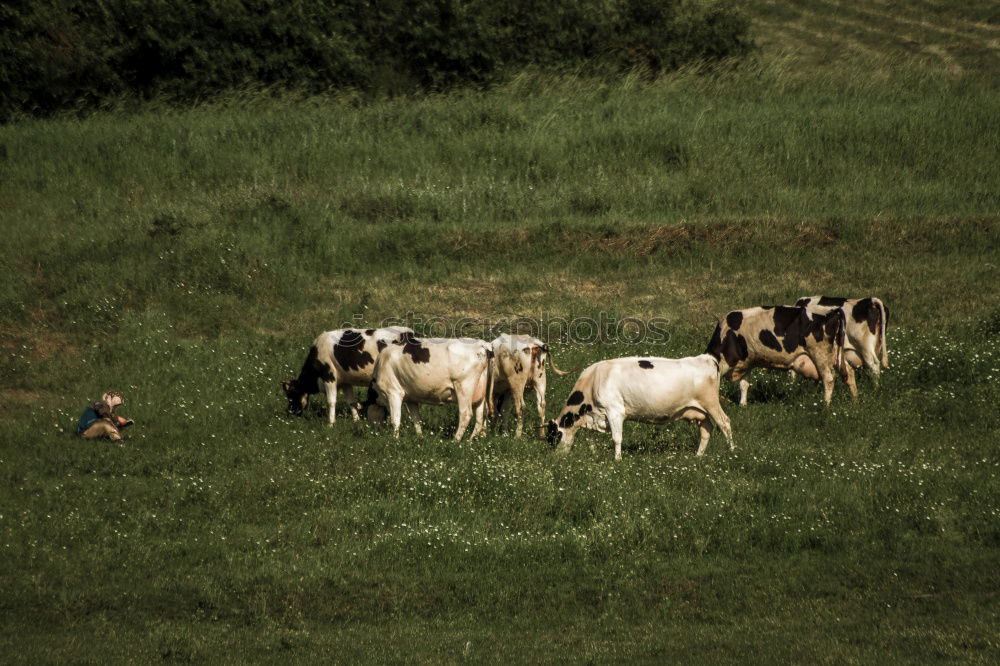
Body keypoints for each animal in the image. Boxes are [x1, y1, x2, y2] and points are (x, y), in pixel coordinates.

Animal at [280, 326, 412, 422]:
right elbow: (351, 401)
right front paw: (356, 421)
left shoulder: (329, 376)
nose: (290, 412)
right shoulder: (345, 381)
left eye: (290, 395)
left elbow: (331, 401)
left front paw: (330, 423)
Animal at [366, 334, 494, 438]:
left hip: (464, 386)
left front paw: (395, 440)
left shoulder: (393, 392)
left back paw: (455, 441)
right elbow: (416, 419)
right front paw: (420, 437)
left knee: (466, 414)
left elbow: (395, 420)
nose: (373, 429)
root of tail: (482, 343)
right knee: (480, 417)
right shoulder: (411, 399)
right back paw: (470, 441)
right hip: (480, 391)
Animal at [548, 356, 736, 460]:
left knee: (725, 423)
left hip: (711, 403)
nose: (555, 459)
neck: (594, 380)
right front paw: (594, 455)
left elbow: (617, 438)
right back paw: (698, 456)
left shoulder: (614, 411)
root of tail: (707, 358)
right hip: (699, 411)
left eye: (554, 436)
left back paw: (732, 452)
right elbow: (591, 439)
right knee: (706, 429)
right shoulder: (595, 415)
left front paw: (617, 459)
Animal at [708, 304, 856, 404]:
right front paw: (743, 405)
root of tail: (833, 311)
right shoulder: (748, 361)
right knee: (849, 373)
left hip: (820, 354)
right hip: (835, 353)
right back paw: (855, 401)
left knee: (828, 379)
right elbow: (744, 385)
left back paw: (825, 406)